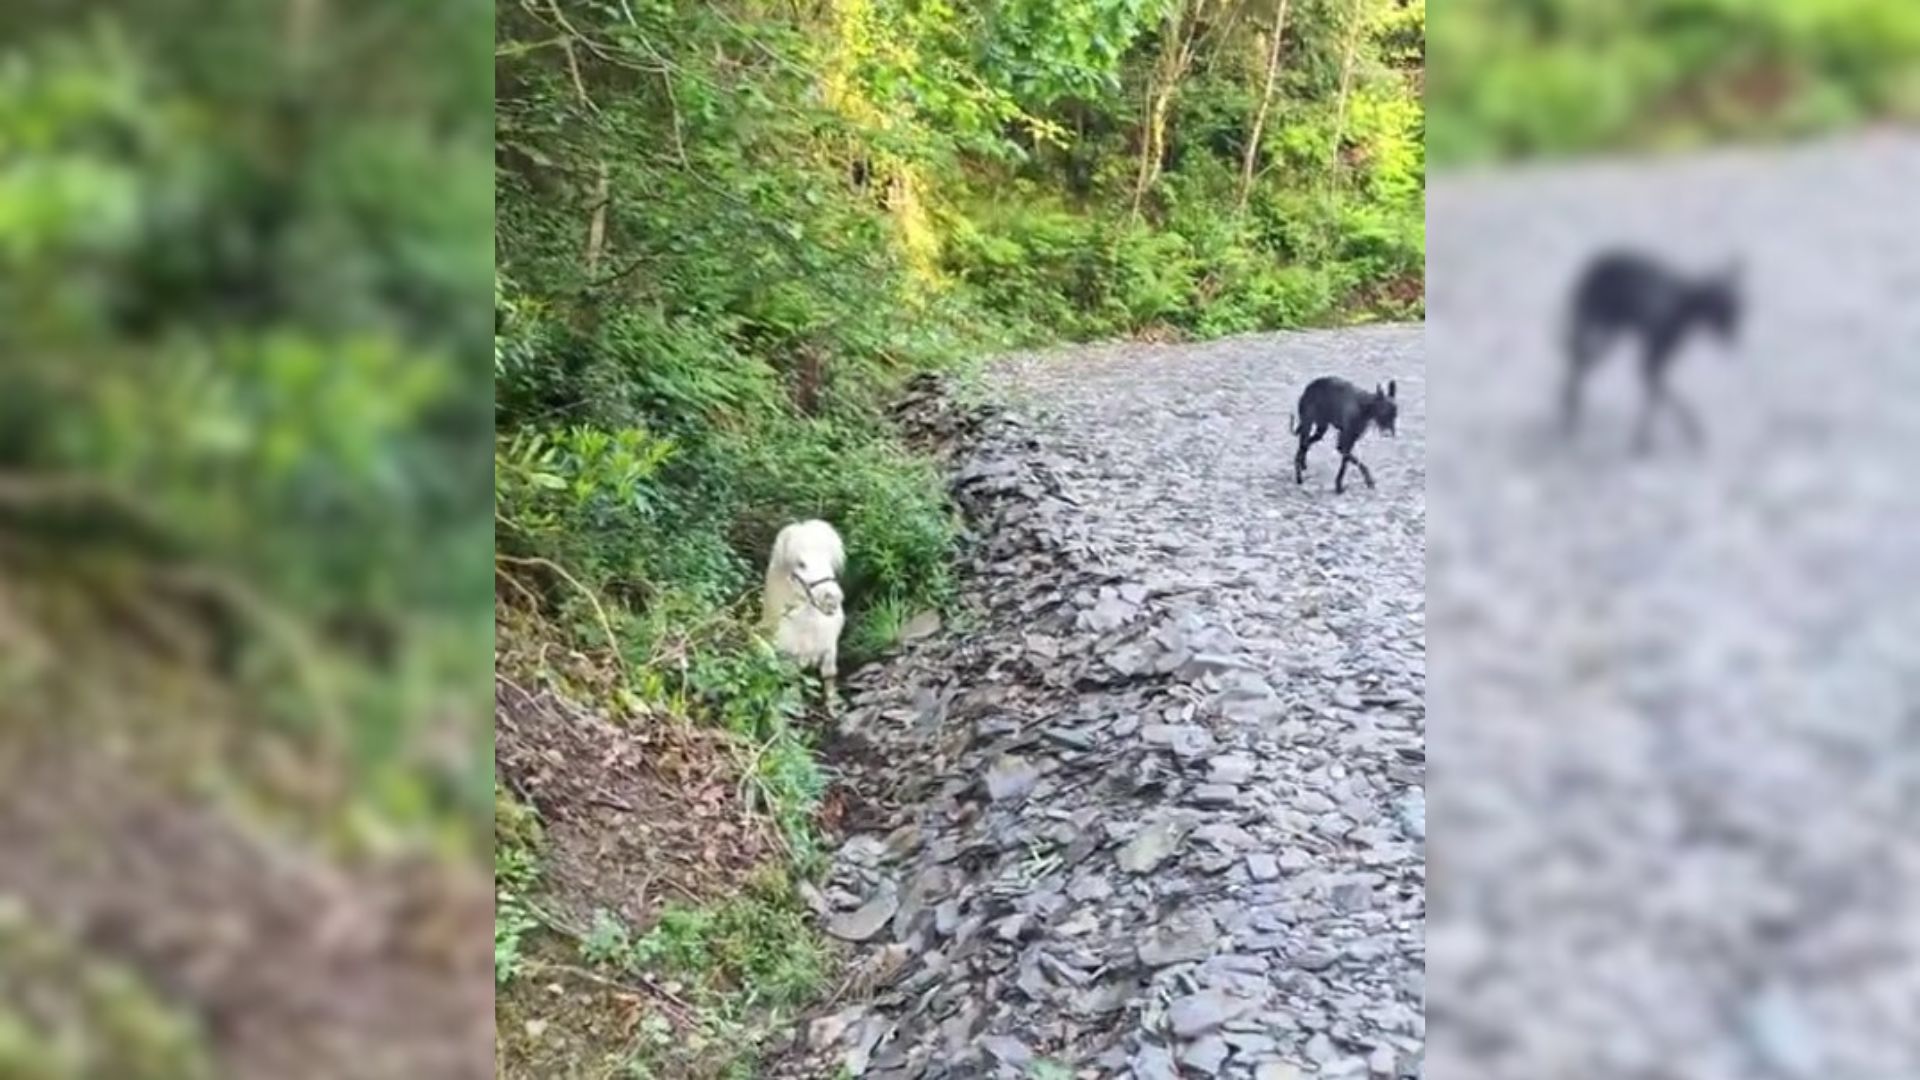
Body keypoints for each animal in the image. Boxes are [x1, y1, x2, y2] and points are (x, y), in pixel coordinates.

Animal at [760, 515, 844, 691]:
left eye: (829, 561)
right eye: (801, 564)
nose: (832, 598)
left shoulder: (830, 651)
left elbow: (829, 680)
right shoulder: (791, 662)